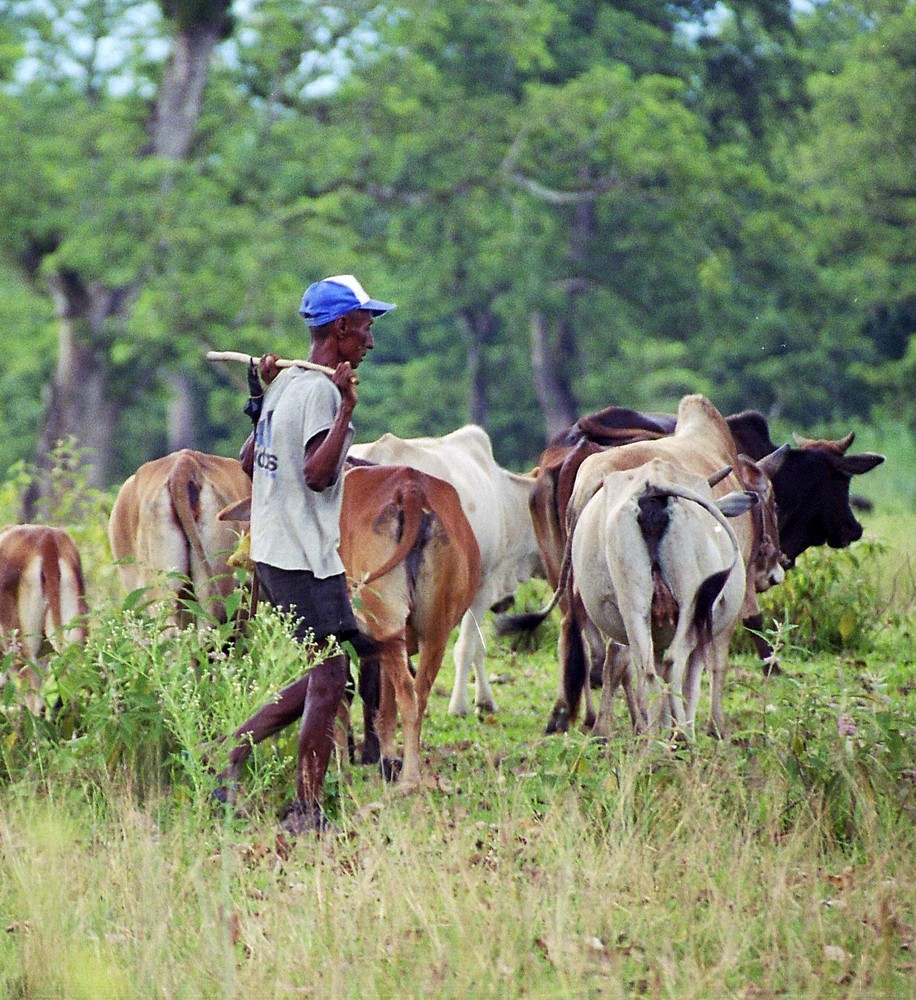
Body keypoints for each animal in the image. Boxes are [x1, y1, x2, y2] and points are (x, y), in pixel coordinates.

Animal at [572, 458, 760, 740]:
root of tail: (652, 488)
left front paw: (661, 725)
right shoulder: (703, 632)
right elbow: (692, 684)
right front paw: (683, 726)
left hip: (634, 607)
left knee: (646, 670)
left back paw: (650, 741)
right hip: (690, 604)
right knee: (674, 662)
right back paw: (683, 738)